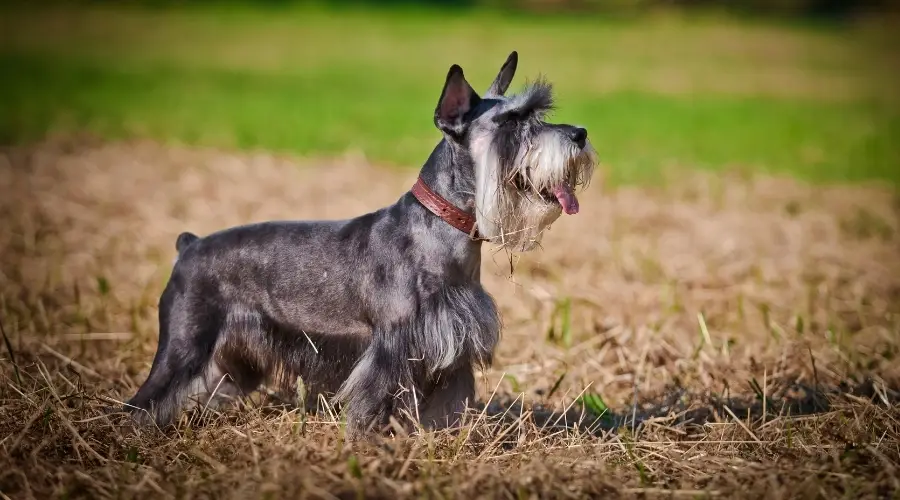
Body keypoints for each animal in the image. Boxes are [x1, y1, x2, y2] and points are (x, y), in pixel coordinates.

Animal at [121, 48, 596, 436]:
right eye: (512, 122)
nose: (580, 133)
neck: (440, 233)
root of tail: (189, 245)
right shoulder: (390, 350)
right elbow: (373, 403)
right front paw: (369, 444)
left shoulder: (453, 353)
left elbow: (445, 406)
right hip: (184, 344)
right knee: (143, 402)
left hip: (235, 358)